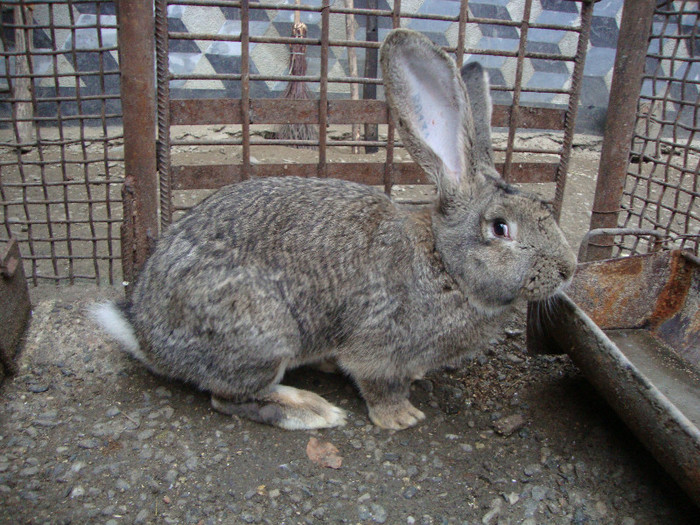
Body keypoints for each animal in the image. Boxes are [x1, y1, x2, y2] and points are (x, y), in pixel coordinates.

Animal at [90, 28, 576, 428]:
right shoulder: (379, 347)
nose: (568, 269)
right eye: (500, 228)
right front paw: (401, 417)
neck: (445, 264)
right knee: (228, 397)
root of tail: (147, 338)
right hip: (263, 333)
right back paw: (312, 411)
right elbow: (378, 384)